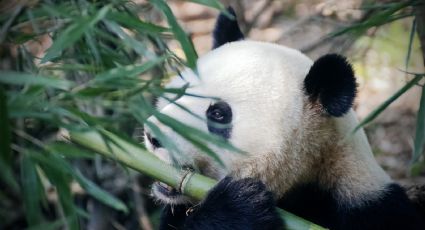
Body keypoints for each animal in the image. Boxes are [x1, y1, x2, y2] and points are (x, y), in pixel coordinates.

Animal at [143, 7, 424, 230]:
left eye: (219, 114)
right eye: (180, 91)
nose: (153, 135)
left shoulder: (369, 207)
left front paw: (239, 205)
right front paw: (238, 206)